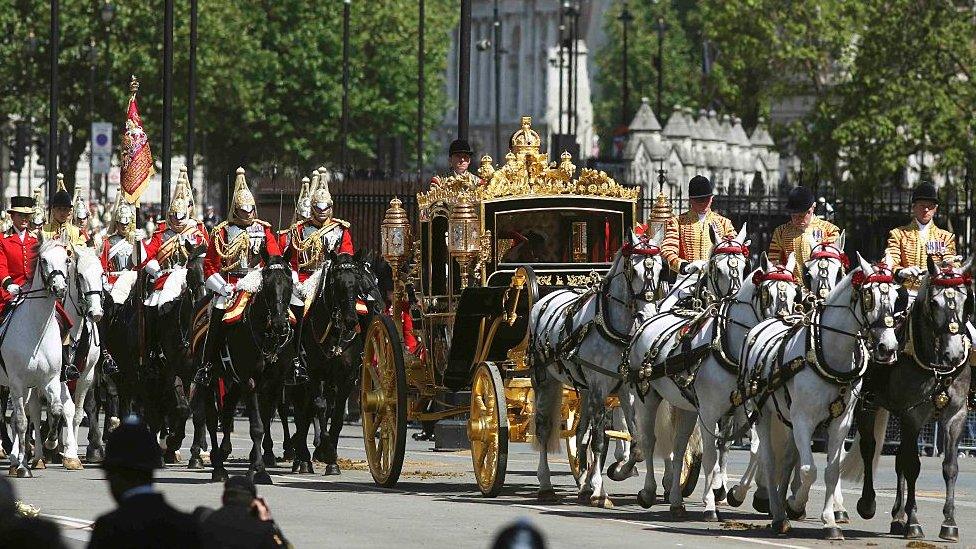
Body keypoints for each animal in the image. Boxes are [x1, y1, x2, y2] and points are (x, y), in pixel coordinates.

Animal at [0, 240, 75, 476]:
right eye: (43, 260)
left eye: (67, 259)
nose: (59, 288)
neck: (36, 329)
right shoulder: (16, 382)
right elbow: (21, 422)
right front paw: (23, 467)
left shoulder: (50, 380)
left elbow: (56, 409)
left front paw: (52, 443)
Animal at [198, 249, 290, 484]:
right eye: (267, 284)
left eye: (289, 283)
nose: (280, 324)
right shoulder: (250, 382)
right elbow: (256, 427)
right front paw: (256, 470)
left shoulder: (272, 383)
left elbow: (264, 423)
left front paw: (259, 468)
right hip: (211, 378)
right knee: (211, 418)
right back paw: (218, 468)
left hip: (234, 380)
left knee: (228, 410)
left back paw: (223, 452)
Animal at [286, 250, 382, 474]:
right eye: (336, 283)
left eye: (357, 282)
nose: (351, 320)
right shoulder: (314, 374)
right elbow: (318, 407)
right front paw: (321, 450)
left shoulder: (346, 377)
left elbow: (336, 414)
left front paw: (330, 457)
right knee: (302, 411)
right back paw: (301, 457)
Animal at [528, 228, 668, 506]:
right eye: (634, 271)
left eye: (659, 268)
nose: (648, 316)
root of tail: (547, 297)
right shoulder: (600, 387)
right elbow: (600, 440)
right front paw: (599, 491)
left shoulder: (626, 389)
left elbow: (636, 440)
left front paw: (618, 471)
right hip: (544, 379)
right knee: (544, 428)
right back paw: (546, 484)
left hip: (584, 390)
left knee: (581, 432)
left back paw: (582, 482)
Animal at [740, 255, 900, 536]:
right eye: (869, 296)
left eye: (895, 296)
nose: (887, 348)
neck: (828, 353)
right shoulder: (804, 420)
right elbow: (808, 470)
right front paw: (795, 504)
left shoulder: (840, 423)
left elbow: (832, 470)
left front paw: (830, 521)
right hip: (763, 414)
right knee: (768, 460)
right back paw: (778, 512)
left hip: (787, 419)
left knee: (786, 460)